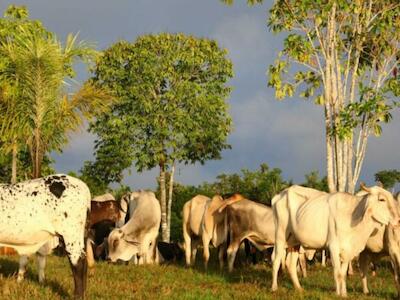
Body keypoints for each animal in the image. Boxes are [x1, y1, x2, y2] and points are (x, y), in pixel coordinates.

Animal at [270, 184, 398, 296]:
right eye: (382, 199)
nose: (398, 219)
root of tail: (280, 194)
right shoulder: (333, 247)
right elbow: (338, 273)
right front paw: (338, 294)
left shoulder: (348, 250)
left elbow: (343, 273)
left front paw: (344, 294)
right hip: (280, 235)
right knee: (276, 260)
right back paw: (274, 288)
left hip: (295, 241)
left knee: (290, 264)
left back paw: (299, 288)